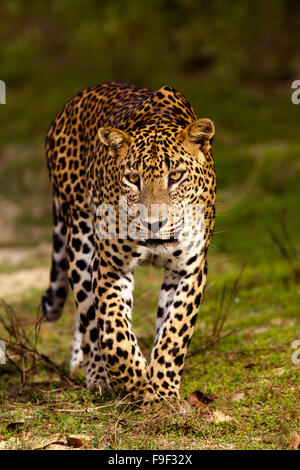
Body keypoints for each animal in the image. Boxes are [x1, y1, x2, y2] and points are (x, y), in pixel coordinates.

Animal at [41, 81, 216, 404]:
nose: (154, 223)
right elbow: (114, 330)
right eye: (133, 178)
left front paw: (163, 390)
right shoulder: (111, 268)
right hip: (80, 238)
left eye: (176, 176)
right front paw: (136, 384)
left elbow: (174, 332)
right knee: (88, 317)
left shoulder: (189, 270)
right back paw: (97, 377)